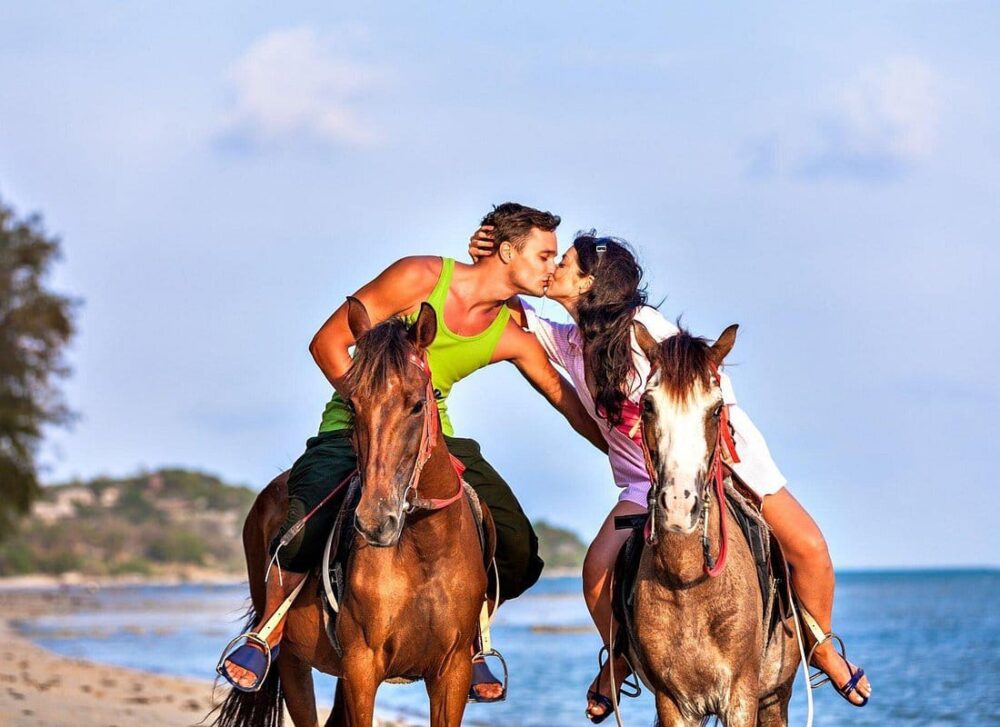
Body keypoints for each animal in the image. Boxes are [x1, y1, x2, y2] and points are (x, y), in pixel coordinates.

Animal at [213, 299, 490, 727]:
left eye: (417, 404)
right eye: (353, 405)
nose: (376, 521)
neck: (425, 553)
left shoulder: (452, 671)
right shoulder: (362, 666)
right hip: (292, 660)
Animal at [626, 322, 800, 727]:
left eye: (716, 408)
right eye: (648, 405)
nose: (678, 503)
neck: (687, 578)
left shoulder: (741, 696)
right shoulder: (673, 703)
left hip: (775, 697)